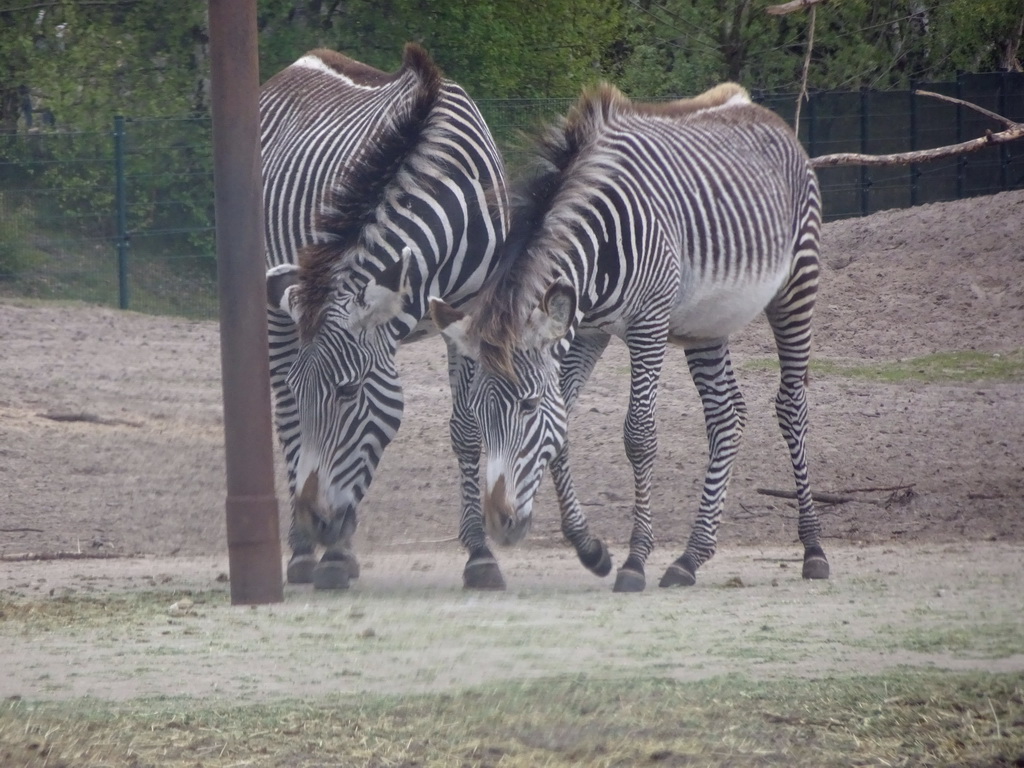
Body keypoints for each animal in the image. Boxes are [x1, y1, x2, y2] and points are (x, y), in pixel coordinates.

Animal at [260, 45, 512, 593]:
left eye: (348, 391)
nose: (316, 520)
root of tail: (301, 60)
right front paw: (331, 553)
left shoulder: (470, 313)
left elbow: (467, 429)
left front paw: (480, 556)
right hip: (275, 301)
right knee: (286, 423)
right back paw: (306, 552)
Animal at [428, 81, 827, 593]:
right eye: (477, 413)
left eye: (528, 406)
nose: (499, 524)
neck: (598, 246)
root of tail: (756, 108)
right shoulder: (585, 331)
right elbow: (564, 426)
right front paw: (591, 550)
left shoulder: (648, 326)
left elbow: (638, 435)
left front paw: (635, 561)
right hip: (707, 319)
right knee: (727, 416)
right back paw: (689, 558)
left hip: (798, 283)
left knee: (791, 406)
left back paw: (813, 549)